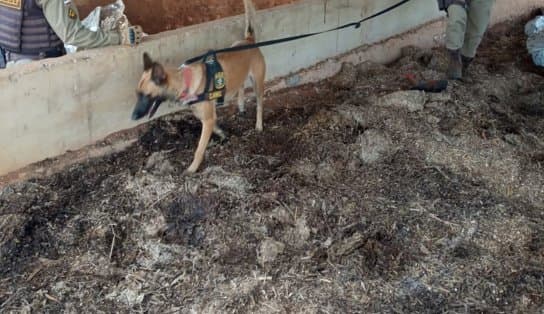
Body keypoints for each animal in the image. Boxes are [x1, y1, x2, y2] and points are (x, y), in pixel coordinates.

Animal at [133, 0, 266, 173]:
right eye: (138, 94)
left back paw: (258, 125)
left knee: (259, 105)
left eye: (147, 95)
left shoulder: (207, 119)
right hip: (239, 75)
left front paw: (192, 168)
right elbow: (214, 125)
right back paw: (241, 106)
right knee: (241, 86)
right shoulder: (205, 116)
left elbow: (199, 148)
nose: (133, 117)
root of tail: (249, 40)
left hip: (258, 84)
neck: (184, 81)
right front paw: (222, 133)